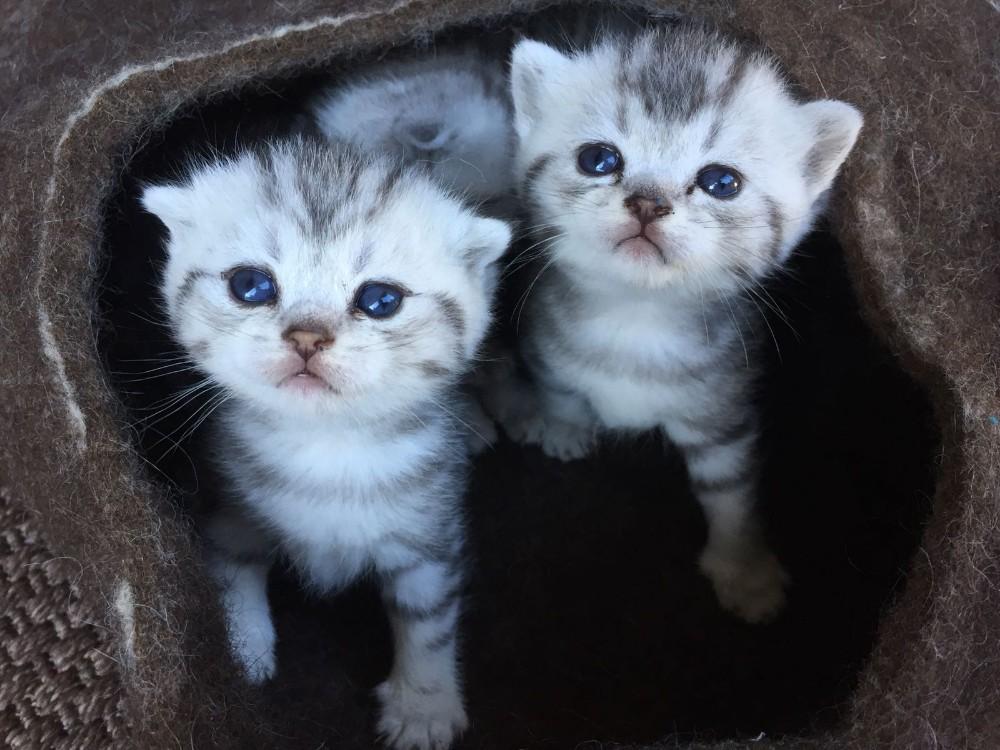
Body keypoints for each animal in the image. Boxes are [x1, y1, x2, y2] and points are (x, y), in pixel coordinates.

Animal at [145, 137, 512, 750]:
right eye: (251, 285)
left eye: (380, 299)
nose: (307, 337)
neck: (327, 447)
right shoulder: (226, 504)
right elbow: (232, 575)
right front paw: (243, 651)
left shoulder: (431, 533)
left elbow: (429, 619)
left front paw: (423, 705)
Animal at [488, 22, 864, 624]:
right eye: (598, 159)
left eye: (721, 182)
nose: (647, 202)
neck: (636, 321)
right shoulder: (543, 342)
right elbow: (561, 390)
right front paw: (564, 428)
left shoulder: (723, 409)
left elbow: (729, 492)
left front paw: (744, 570)